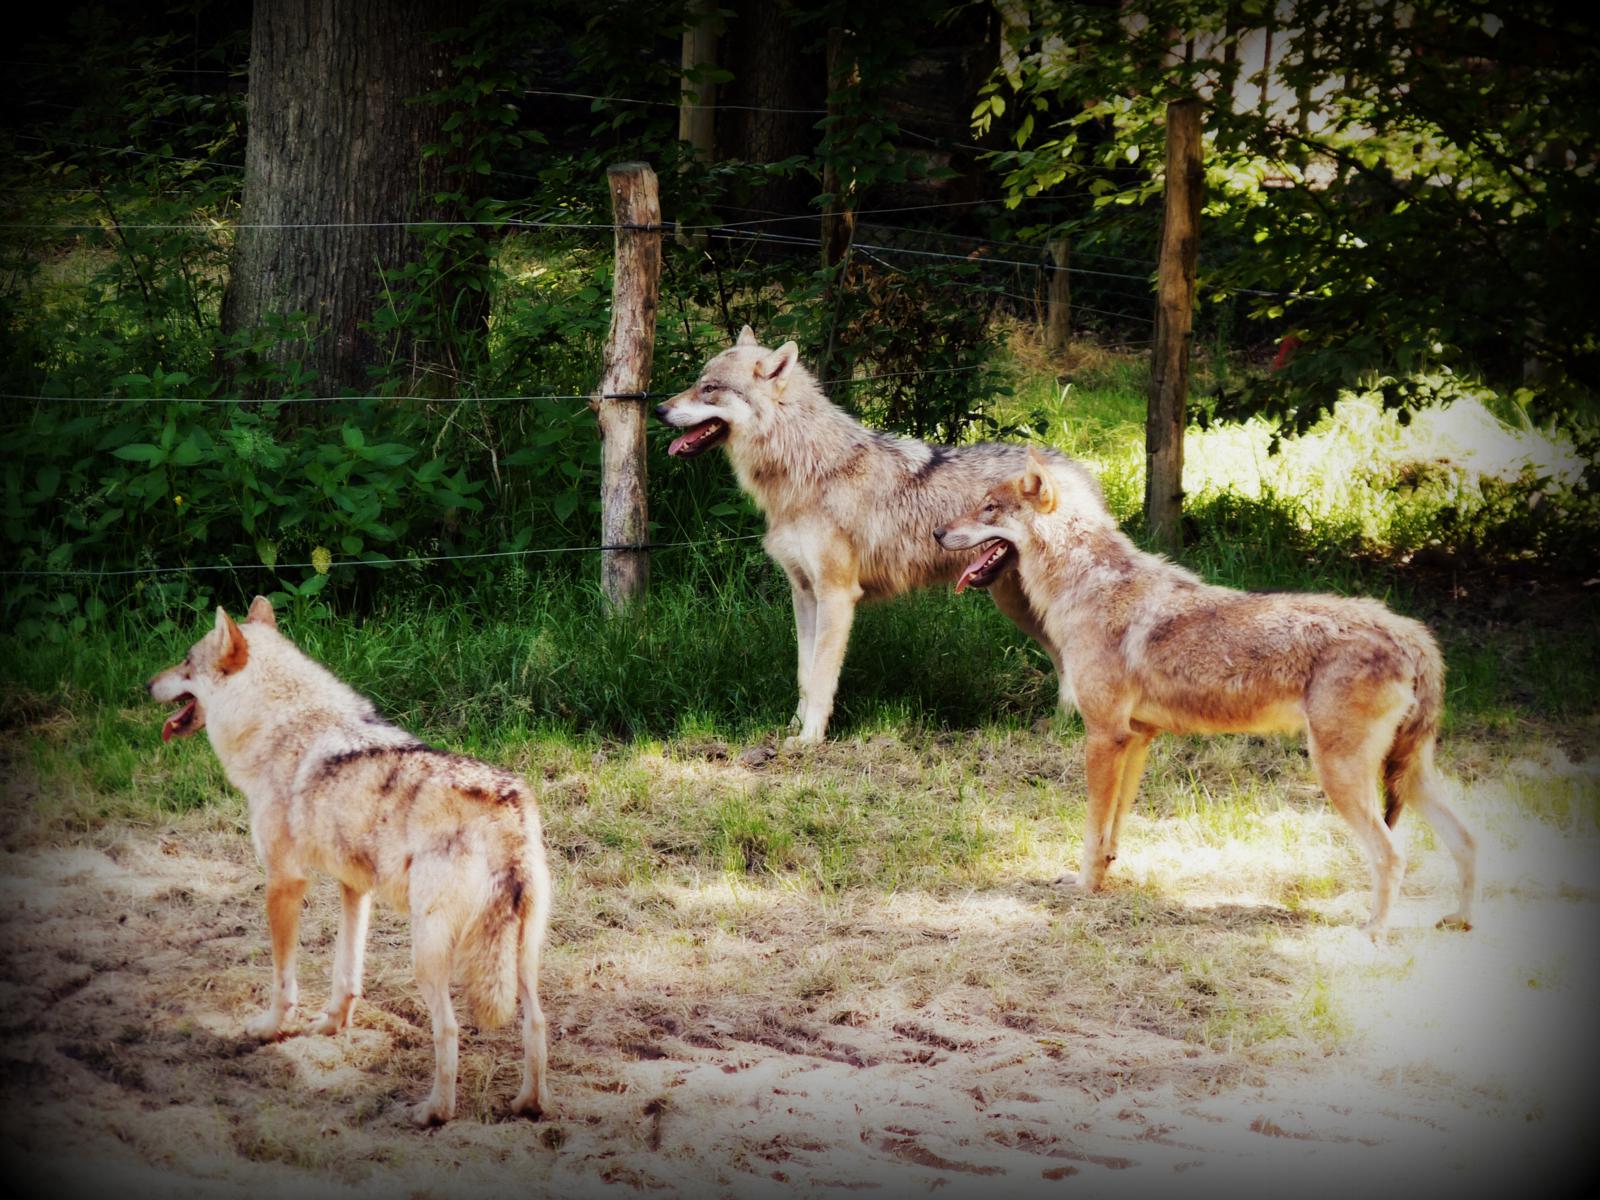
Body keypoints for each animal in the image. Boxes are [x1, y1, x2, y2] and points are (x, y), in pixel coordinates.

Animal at [147, 601, 556, 1126]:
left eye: (184, 661)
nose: (145, 684)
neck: (282, 727)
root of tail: (509, 805)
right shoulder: (355, 889)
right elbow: (347, 971)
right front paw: (331, 1024)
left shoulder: (284, 883)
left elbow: (283, 981)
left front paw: (269, 1029)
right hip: (520, 958)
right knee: (537, 1023)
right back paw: (530, 1105)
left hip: (427, 956)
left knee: (449, 1030)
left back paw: (434, 1112)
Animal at [649, 329, 1088, 742]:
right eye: (698, 381)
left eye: (709, 388)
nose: (657, 409)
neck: (806, 472)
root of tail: (1074, 467)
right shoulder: (803, 594)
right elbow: (804, 676)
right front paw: (793, 729)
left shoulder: (837, 596)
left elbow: (822, 678)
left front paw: (809, 741)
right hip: (1015, 603)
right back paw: (1063, 725)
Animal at [934, 451, 1472, 940]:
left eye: (988, 508)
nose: (937, 533)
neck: (1087, 586)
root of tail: (1410, 633)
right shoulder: (1137, 739)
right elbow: (1112, 831)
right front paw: (1104, 881)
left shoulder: (1104, 737)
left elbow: (1091, 830)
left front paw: (1083, 888)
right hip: (1406, 775)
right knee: (1467, 838)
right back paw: (1459, 920)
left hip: (1342, 774)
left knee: (1393, 854)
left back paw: (1372, 933)